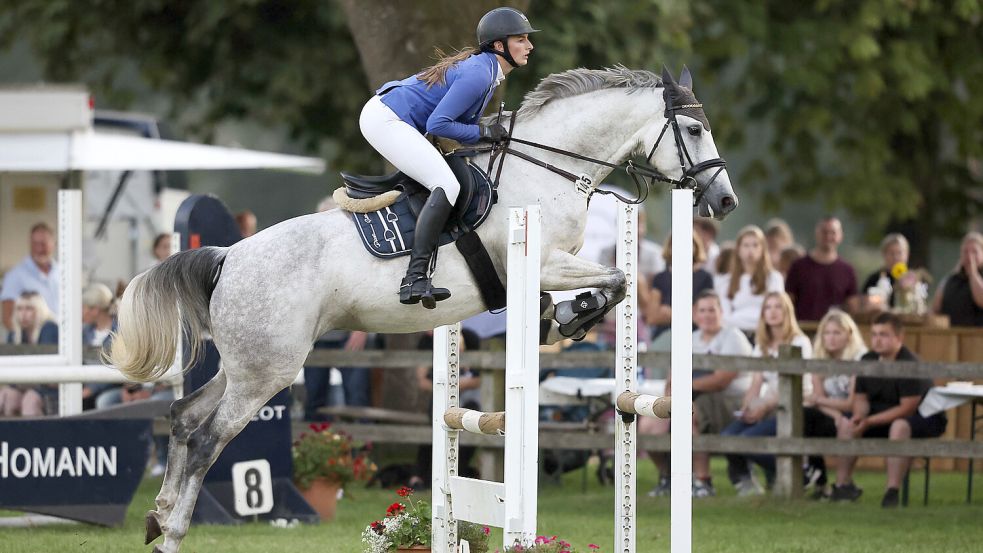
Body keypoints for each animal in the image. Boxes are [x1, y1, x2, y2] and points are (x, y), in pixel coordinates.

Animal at [107, 63, 736, 548]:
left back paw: (156, 518)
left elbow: (616, 282)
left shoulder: (552, 266)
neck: (547, 168)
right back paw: (175, 533)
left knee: (184, 418)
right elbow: (620, 279)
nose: (725, 201)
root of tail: (228, 258)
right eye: (694, 129)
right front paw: (571, 315)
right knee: (208, 440)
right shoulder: (543, 261)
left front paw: (562, 316)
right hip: (267, 371)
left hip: (246, 365)